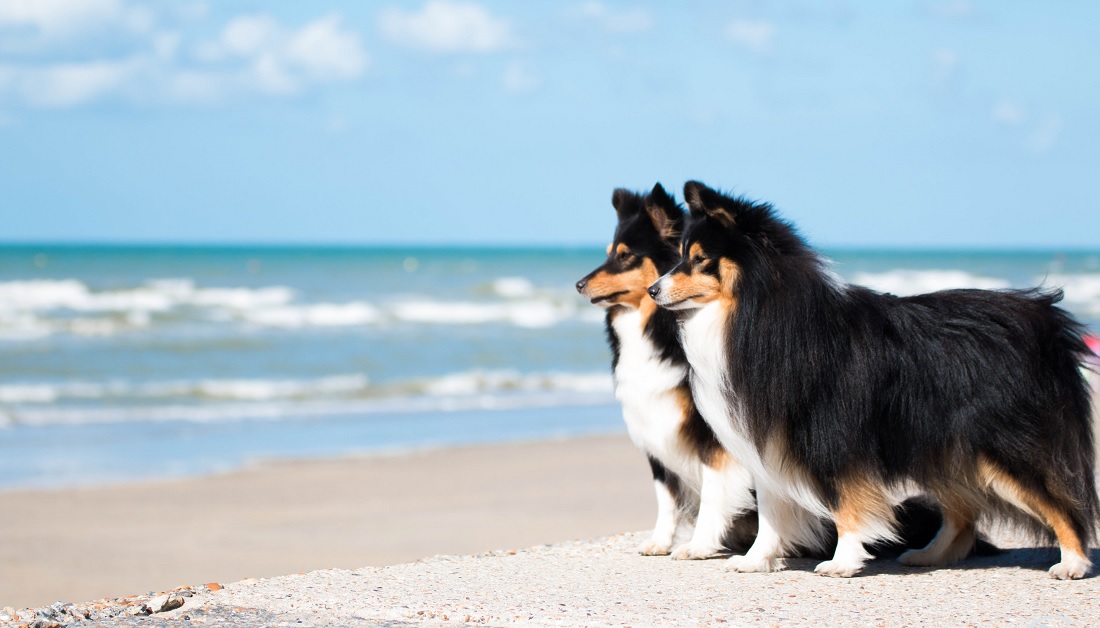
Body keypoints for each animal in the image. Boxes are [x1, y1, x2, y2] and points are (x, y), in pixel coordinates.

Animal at [572, 184, 761, 558]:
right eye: (609, 253)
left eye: (626, 256)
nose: (579, 284)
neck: (656, 329)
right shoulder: (653, 428)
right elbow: (666, 496)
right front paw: (660, 542)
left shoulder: (715, 437)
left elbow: (714, 490)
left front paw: (700, 545)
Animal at [646, 179, 1095, 576]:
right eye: (680, 254)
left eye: (700, 259)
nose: (652, 289)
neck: (759, 313)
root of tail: (1042, 317)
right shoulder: (772, 441)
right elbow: (772, 511)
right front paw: (756, 561)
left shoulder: (835, 439)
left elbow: (847, 505)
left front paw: (842, 563)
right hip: (943, 445)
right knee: (962, 513)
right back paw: (928, 555)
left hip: (1003, 446)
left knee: (1061, 502)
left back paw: (1072, 563)